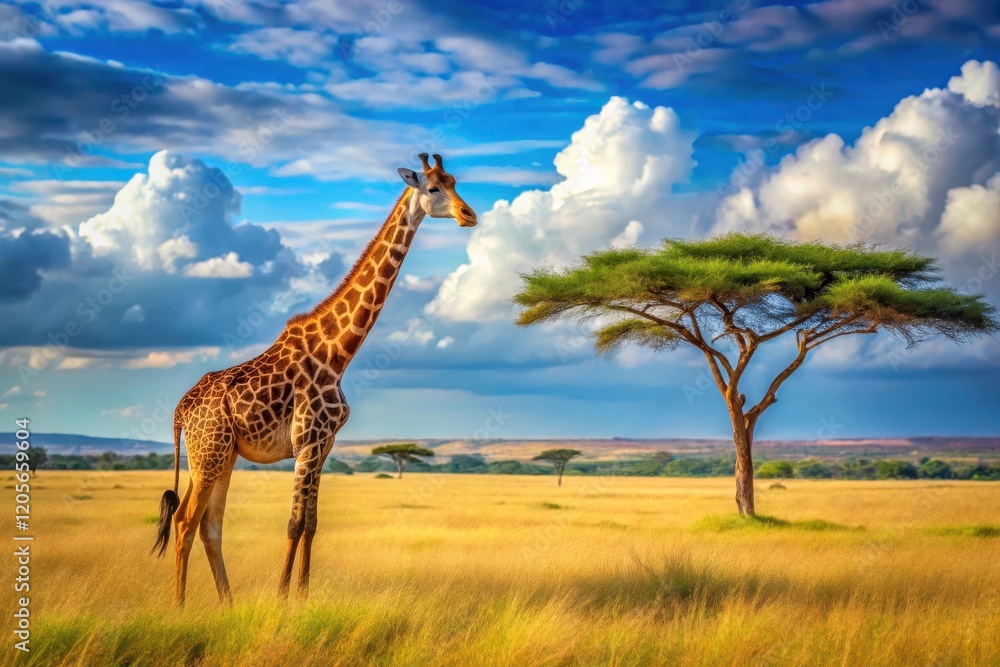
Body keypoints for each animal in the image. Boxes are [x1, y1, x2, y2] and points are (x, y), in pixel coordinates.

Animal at [152, 153, 476, 605]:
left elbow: (311, 524)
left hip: (224, 456)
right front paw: (281, 598)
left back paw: (227, 604)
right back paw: (181, 608)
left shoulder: (325, 444)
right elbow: (292, 523)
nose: (469, 215)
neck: (338, 353)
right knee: (184, 522)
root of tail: (182, 408)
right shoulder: (306, 441)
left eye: (455, 181)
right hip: (208, 453)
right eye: (433, 188)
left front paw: (302, 598)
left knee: (209, 525)